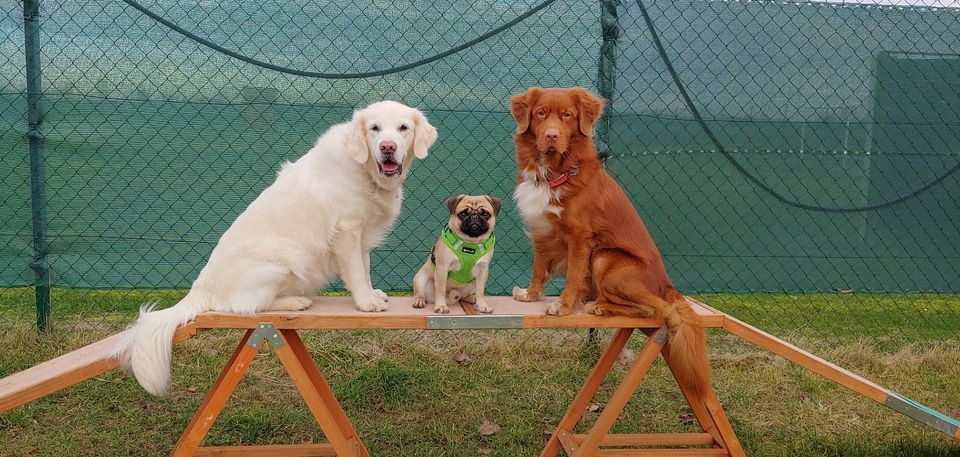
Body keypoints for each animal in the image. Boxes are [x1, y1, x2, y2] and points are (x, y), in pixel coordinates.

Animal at [512, 86, 708, 400]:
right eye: (541, 113)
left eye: (567, 115)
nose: (552, 135)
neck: (555, 170)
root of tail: (668, 285)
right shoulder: (543, 233)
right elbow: (538, 269)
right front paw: (530, 295)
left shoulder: (580, 236)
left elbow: (573, 275)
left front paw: (563, 307)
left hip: (606, 259)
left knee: (655, 310)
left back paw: (601, 307)